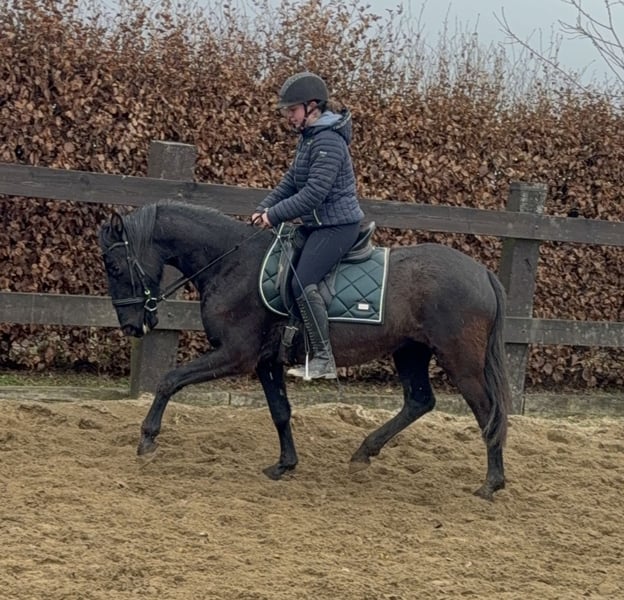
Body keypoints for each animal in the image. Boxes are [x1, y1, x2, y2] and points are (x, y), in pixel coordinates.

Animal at [99, 200, 512, 500]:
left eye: (115, 266)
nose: (131, 327)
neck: (233, 264)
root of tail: (482, 273)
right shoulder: (266, 361)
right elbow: (280, 412)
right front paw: (284, 465)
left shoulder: (236, 355)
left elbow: (169, 380)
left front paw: (147, 439)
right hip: (410, 351)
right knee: (419, 401)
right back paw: (363, 453)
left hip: (460, 360)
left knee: (487, 410)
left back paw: (491, 483)